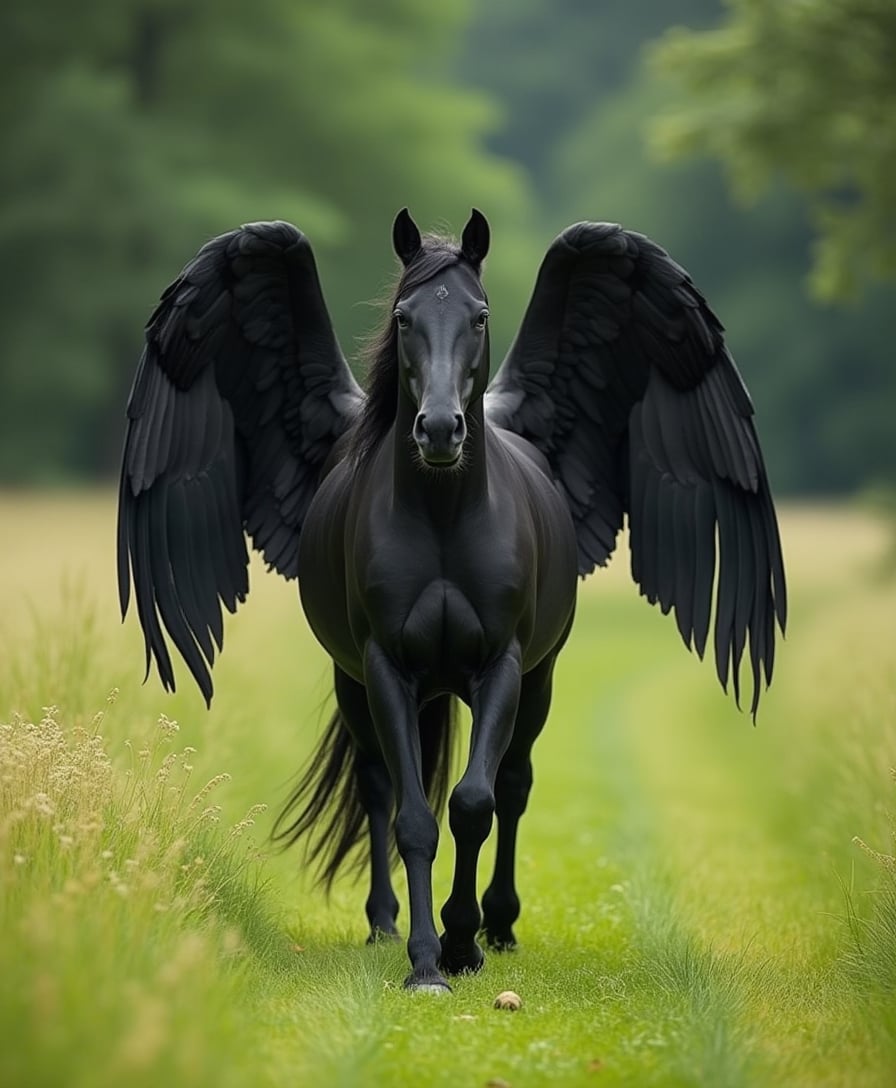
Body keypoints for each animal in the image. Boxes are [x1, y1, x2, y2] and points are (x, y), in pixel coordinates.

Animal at [117, 205, 782, 996]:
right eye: (404, 317)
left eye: (479, 315)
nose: (438, 429)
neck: (443, 515)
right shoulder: (386, 668)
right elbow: (413, 817)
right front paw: (427, 961)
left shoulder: (502, 665)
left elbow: (473, 804)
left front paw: (464, 940)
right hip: (359, 684)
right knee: (376, 787)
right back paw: (384, 920)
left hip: (537, 682)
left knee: (514, 785)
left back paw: (500, 923)